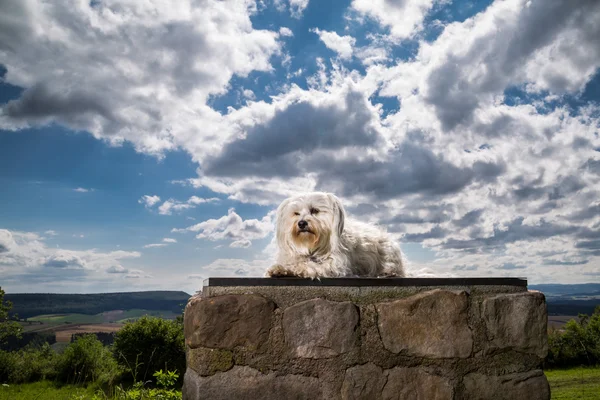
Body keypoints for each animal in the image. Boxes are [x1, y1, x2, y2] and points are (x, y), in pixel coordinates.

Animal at [264, 192, 406, 280]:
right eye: (296, 213)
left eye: (315, 210)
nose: (301, 223)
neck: (311, 245)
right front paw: (279, 268)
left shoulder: (334, 265)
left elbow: (308, 266)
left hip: (388, 253)